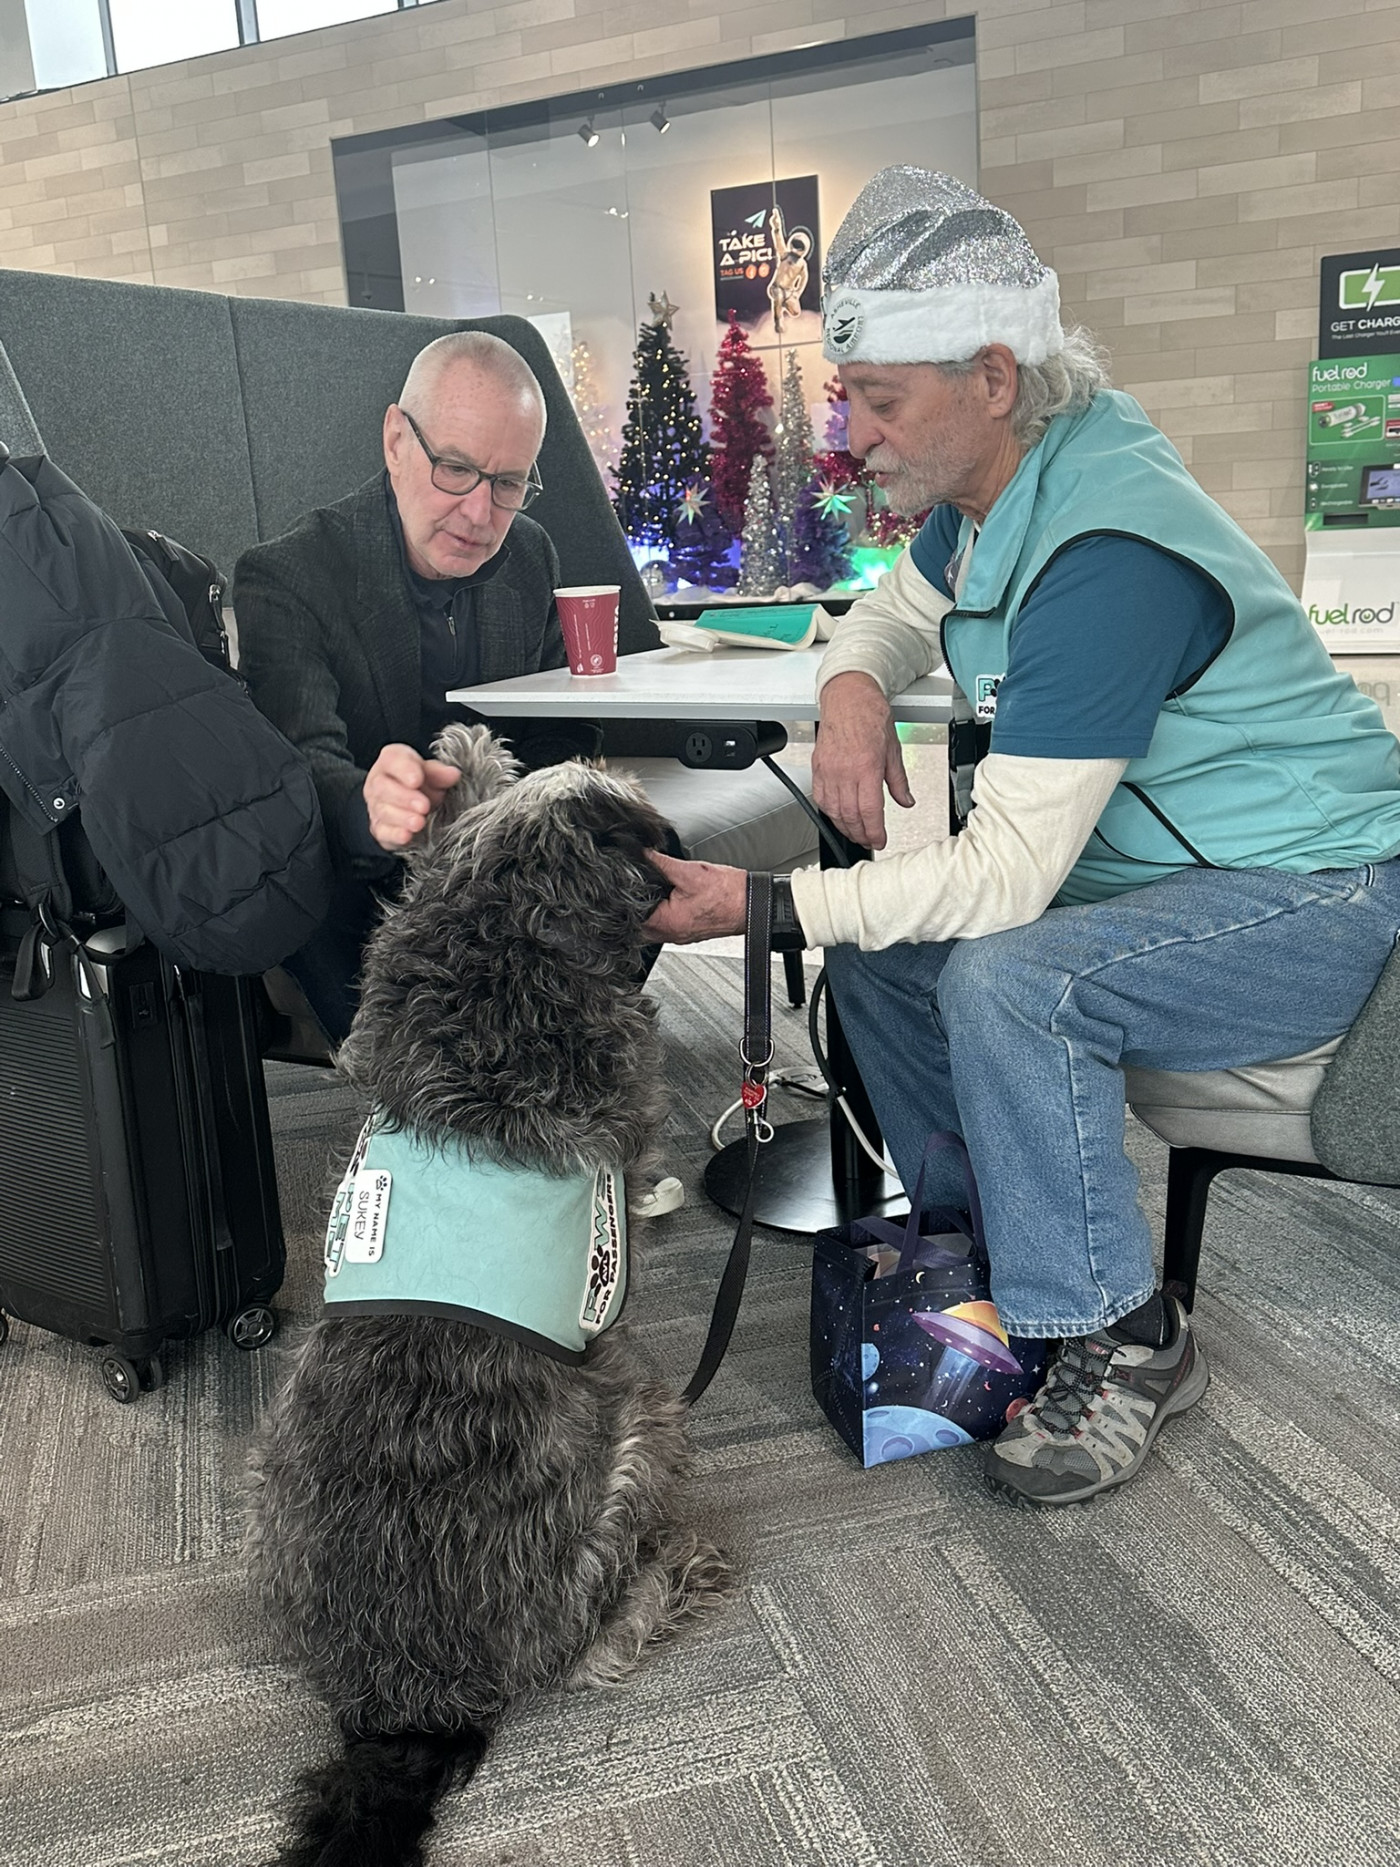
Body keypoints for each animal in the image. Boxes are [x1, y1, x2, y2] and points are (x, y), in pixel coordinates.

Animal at [246, 726, 729, 1867]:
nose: (677, 835)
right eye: (634, 818)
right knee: (596, 1646)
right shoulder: (625, 1112)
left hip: (269, 1466)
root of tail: (406, 1707)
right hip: (639, 1430)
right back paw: (675, 1574)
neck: (493, 951)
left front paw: (453, 772)